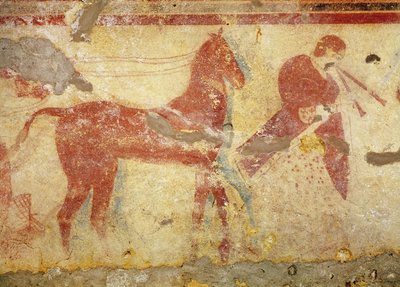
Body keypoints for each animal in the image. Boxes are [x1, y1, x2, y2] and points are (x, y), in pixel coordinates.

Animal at [10, 30, 245, 262]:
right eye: (226, 52)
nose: (241, 80)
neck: (200, 104)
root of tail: (67, 111)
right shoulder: (207, 164)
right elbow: (215, 206)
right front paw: (216, 252)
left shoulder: (205, 165)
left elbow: (205, 209)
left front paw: (205, 253)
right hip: (91, 175)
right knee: (76, 216)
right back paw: (84, 258)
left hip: (97, 174)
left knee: (86, 217)